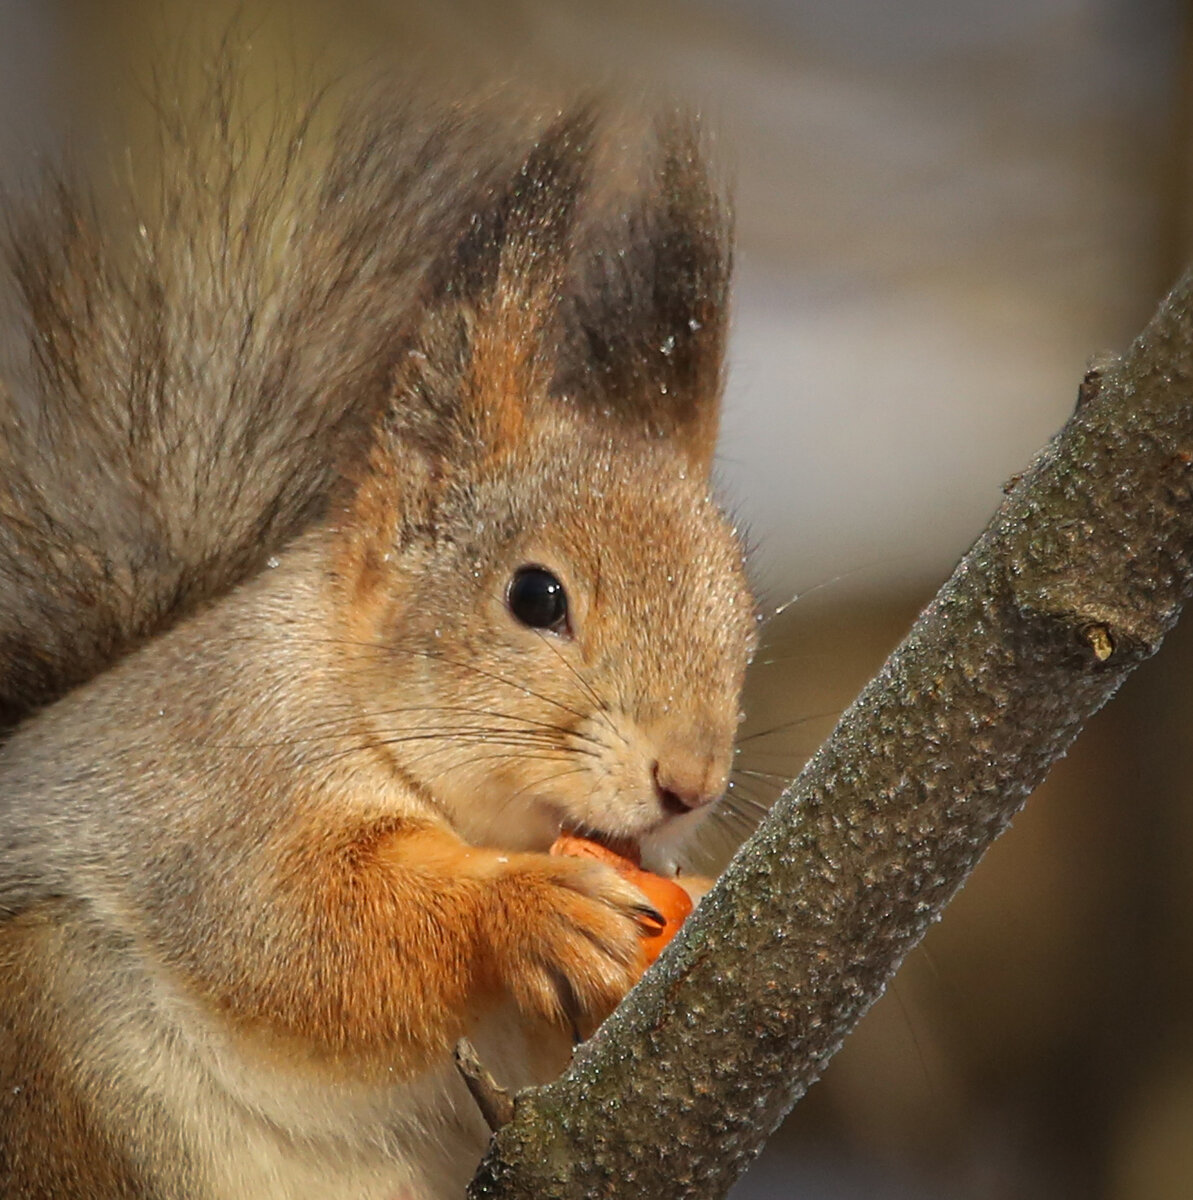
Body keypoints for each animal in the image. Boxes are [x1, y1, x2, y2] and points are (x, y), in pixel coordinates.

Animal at [0, 77, 753, 1200]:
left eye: (743, 630)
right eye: (536, 596)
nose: (689, 786)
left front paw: (689, 899)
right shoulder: (228, 778)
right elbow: (307, 926)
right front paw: (526, 911)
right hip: (46, 1033)